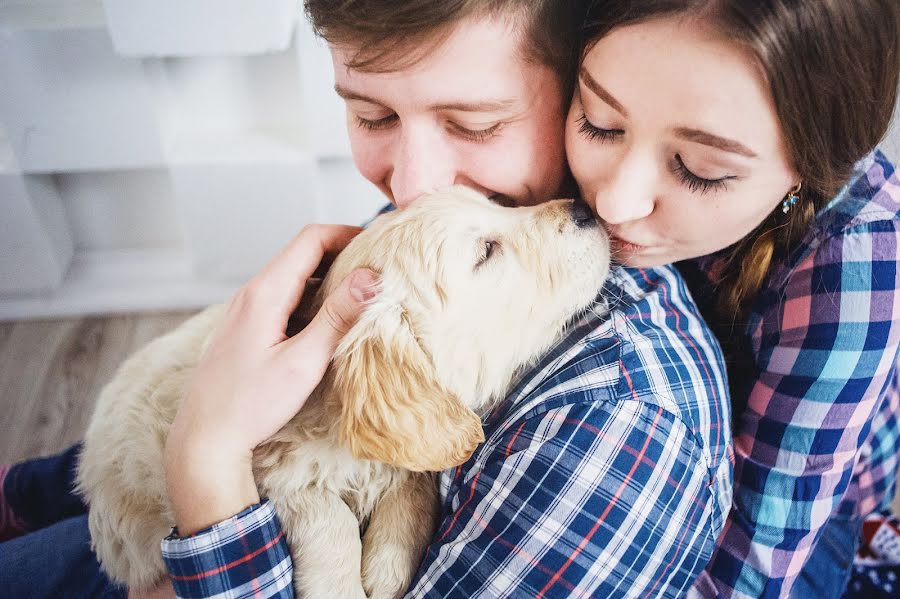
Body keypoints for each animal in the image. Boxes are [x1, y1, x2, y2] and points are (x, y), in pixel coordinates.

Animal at [77, 185, 612, 596]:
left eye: (498, 202)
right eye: (486, 252)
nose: (584, 208)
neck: (333, 417)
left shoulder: (410, 444)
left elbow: (411, 488)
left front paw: (386, 568)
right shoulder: (272, 465)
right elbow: (324, 513)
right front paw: (341, 586)